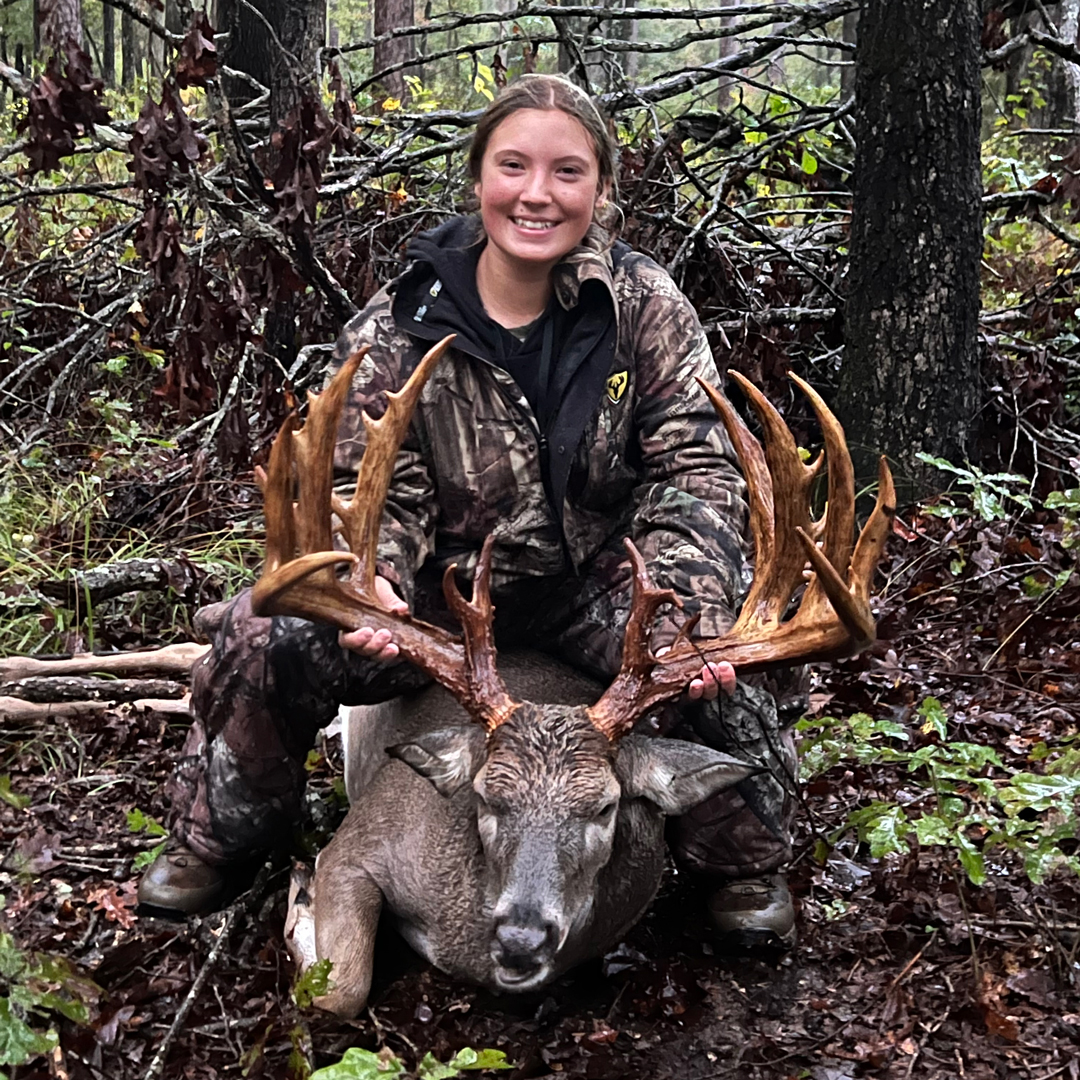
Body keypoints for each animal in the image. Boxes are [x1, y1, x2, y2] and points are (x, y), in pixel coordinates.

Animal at [250, 335, 895, 1018]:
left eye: (605, 808)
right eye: (487, 795)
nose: (521, 937)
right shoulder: (360, 840)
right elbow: (340, 987)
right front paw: (298, 895)